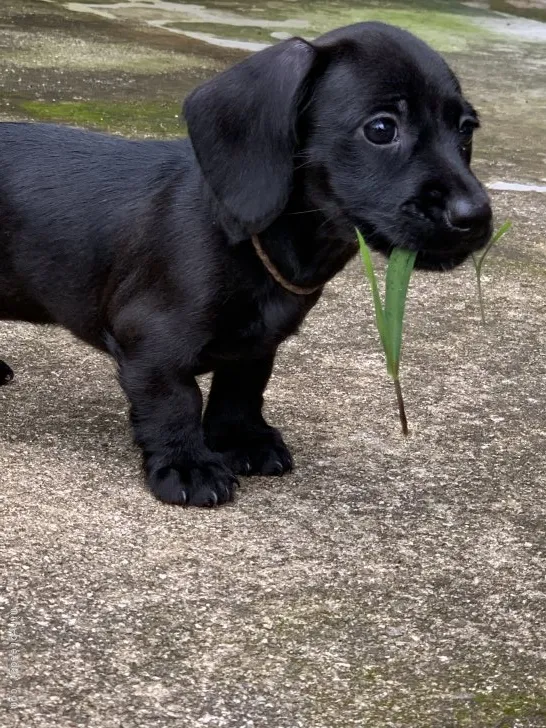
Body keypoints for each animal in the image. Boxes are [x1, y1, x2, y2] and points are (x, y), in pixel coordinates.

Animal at [0, 25, 490, 510]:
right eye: (382, 128)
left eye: (466, 129)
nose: (477, 216)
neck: (252, 242)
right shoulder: (153, 344)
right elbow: (176, 403)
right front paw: (187, 465)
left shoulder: (257, 345)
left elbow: (241, 388)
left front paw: (241, 441)